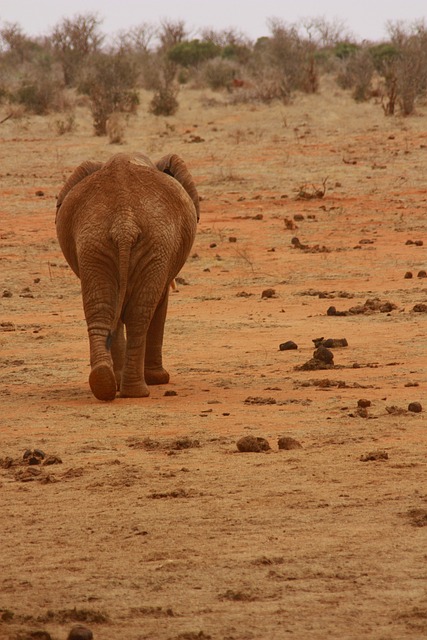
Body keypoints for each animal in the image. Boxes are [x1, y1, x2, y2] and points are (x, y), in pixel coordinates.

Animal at [55, 151, 201, 400]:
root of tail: (124, 223)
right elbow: (160, 303)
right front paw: (159, 379)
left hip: (94, 244)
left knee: (102, 309)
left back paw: (105, 383)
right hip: (154, 244)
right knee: (140, 315)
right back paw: (137, 390)